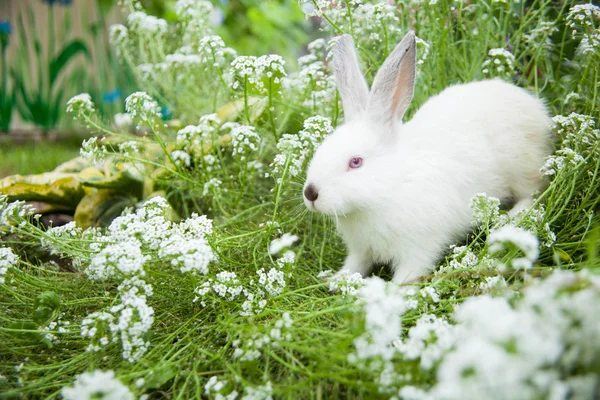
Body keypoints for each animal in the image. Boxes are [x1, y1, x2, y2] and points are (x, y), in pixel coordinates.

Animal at [304, 32, 552, 284]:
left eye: (355, 162)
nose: (310, 193)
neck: (391, 185)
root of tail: (535, 107)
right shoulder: (361, 249)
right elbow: (355, 265)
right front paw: (337, 282)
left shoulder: (419, 248)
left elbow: (410, 271)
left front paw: (394, 290)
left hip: (522, 168)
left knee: (535, 193)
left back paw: (511, 217)